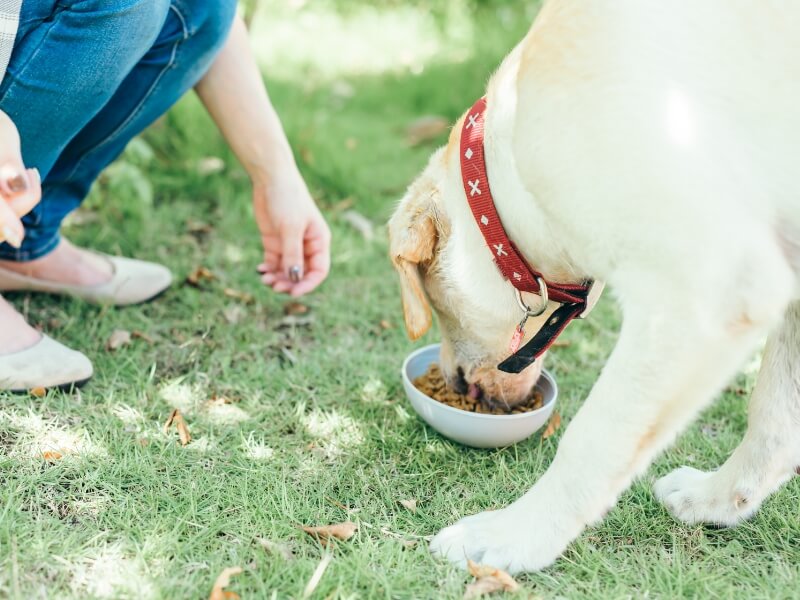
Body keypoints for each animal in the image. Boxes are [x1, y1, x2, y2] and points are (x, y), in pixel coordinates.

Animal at [388, 0, 800, 572]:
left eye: (439, 305)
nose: (449, 379)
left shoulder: (705, 293)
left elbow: (593, 441)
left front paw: (512, 537)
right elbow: (774, 417)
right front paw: (719, 499)